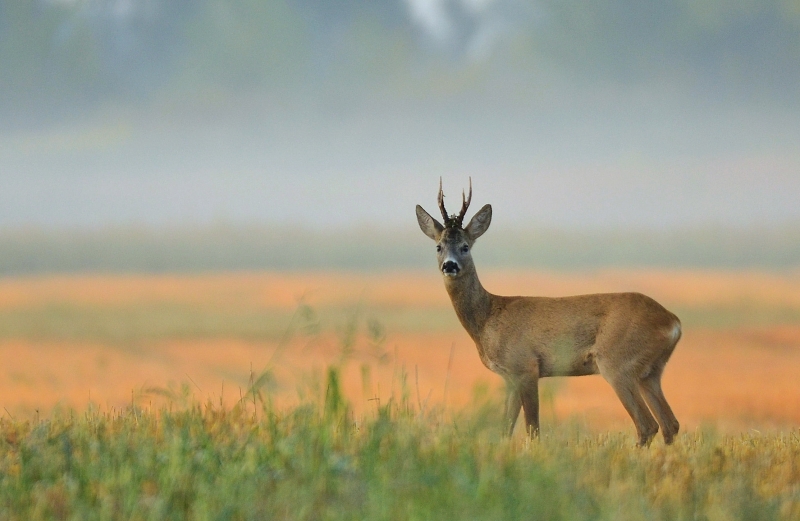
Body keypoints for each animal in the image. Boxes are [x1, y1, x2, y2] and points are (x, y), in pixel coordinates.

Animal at [415, 179, 682, 446]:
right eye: (438, 246)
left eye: (465, 246)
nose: (450, 265)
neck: (488, 317)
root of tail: (673, 322)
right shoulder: (510, 378)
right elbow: (505, 429)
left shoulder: (526, 367)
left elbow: (533, 430)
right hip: (651, 372)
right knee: (670, 424)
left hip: (617, 364)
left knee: (647, 425)